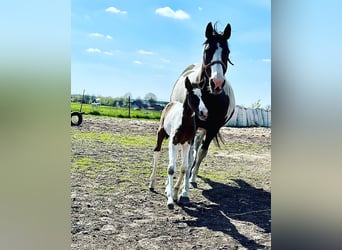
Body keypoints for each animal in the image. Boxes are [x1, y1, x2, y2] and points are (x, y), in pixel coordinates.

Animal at [150, 76, 208, 209]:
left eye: (203, 96)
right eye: (192, 96)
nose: (204, 113)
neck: (185, 122)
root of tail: (171, 103)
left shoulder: (187, 143)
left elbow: (184, 167)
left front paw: (176, 193)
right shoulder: (174, 141)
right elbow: (171, 168)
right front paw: (170, 200)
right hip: (161, 134)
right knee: (157, 153)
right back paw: (152, 184)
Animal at [170, 22, 235, 204]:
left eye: (227, 52)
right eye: (207, 50)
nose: (217, 83)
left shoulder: (212, 128)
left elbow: (201, 153)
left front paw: (190, 179)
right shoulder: (191, 128)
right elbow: (189, 157)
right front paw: (183, 192)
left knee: (197, 149)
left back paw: (193, 176)